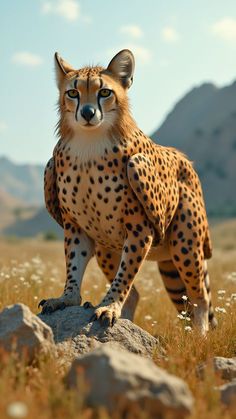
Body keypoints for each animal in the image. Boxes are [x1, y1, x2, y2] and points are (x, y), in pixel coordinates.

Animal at [39, 49, 217, 336]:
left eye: (104, 92)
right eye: (73, 93)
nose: (87, 113)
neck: (89, 144)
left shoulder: (140, 229)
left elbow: (125, 275)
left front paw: (110, 306)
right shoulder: (77, 227)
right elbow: (74, 266)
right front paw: (67, 298)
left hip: (186, 243)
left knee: (199, 296)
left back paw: (200, 338)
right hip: (108, 247)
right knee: (141, 295)